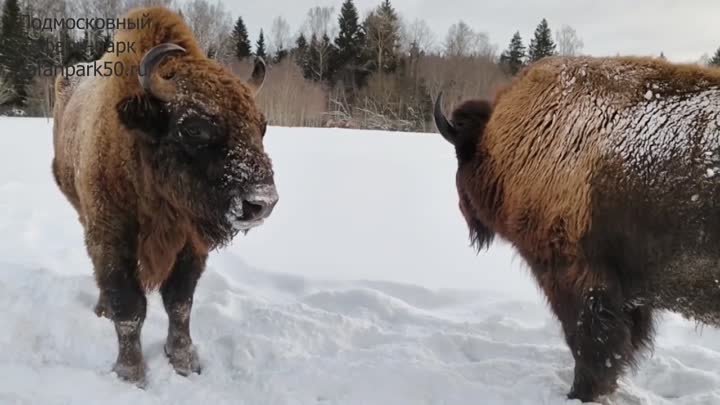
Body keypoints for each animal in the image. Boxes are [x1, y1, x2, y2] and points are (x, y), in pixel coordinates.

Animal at [52, 7, 278, 386]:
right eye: (194, 128)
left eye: (261, 126)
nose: (261, 203)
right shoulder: (112, 237)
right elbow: (130, 308)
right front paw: (131, 373)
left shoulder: (190, 243)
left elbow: (179, 302)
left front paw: (185, 360)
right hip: (83, 214)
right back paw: (102, 308)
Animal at [436, 56, 720, 400]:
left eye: (460, 155)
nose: (462, 208)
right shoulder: (630, 296)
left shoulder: (573, 278)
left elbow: (589, 343)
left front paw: (579, 393)